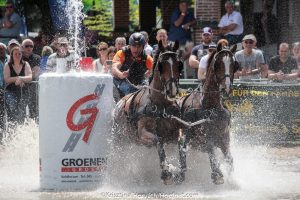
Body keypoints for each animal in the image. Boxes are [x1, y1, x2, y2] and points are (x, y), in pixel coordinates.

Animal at [112, 40, 183, 184]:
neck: (161, 105)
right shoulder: (143, 134)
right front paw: (167, 171)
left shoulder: (174, 133)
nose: (172, 91)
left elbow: (180, 143)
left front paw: (179, 172)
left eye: (179, 64)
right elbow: (159, 141)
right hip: (119, 140)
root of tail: (119, 103)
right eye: (161, 65)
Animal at [178, 43, 239, 185]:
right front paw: (217, 175)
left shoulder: (224, 136)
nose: (226, 88)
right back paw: (180, 174)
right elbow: (212, 152)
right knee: (182, 149)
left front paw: (232, 179)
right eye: (218, 63)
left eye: (234, 64)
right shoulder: (205, 138)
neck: (211, 107)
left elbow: (229, 158)